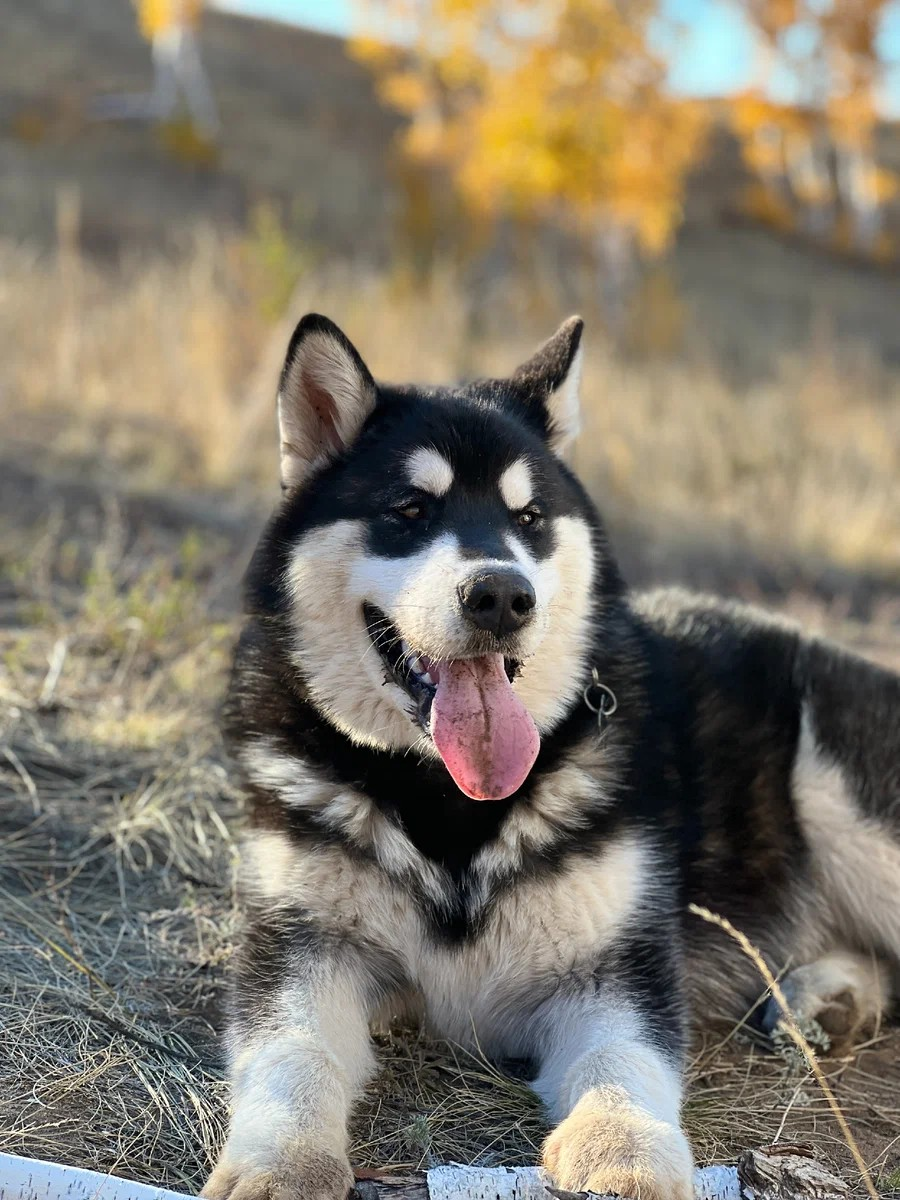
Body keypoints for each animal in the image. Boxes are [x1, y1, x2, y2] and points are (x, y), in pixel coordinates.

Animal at [204, 314, 900, 1200]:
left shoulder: (614, 964)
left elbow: (621, 1059)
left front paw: (626, 1151)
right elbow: (293, 1051)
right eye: (409, 508)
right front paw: (282, 1161)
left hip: (839, 802)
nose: (500, 595)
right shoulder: (301, 943)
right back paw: (829, 995)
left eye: (530, 518)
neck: (448, 803)